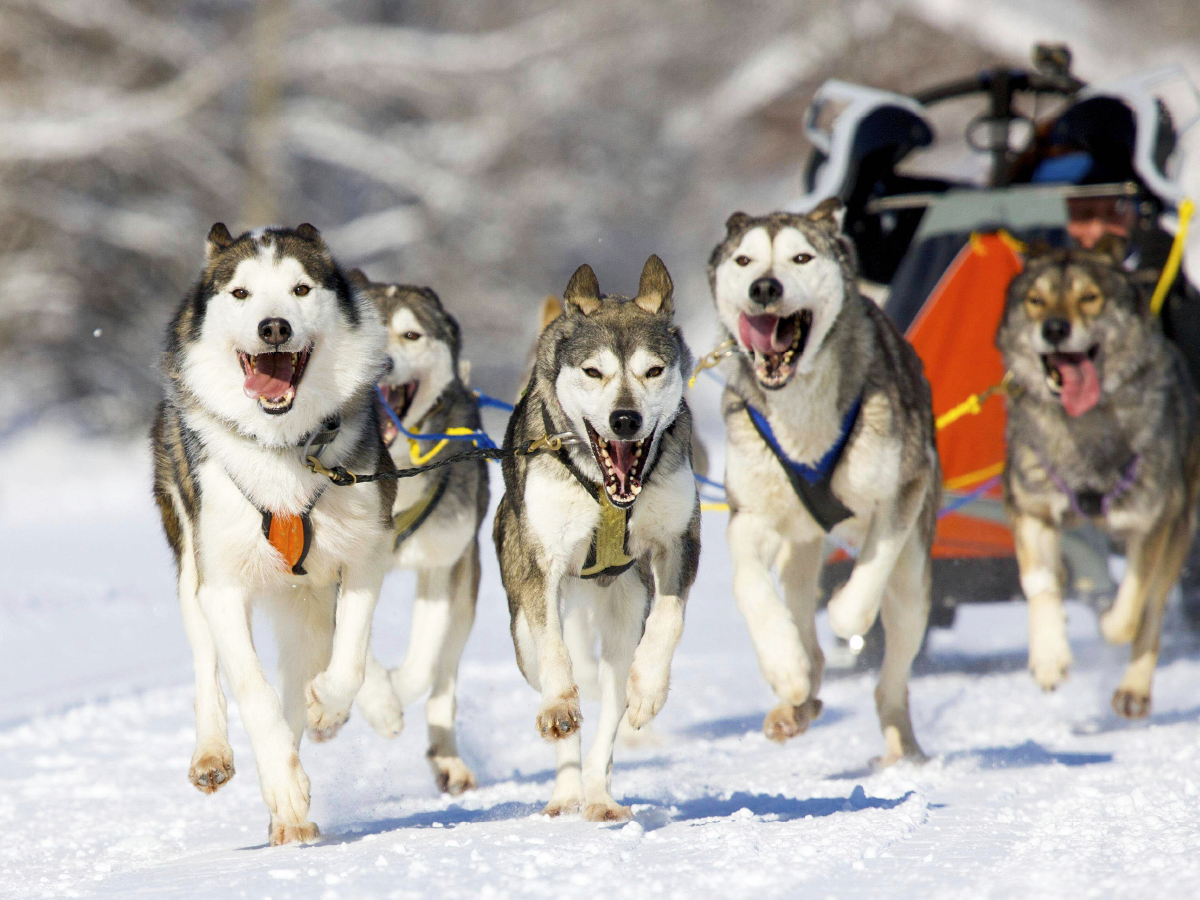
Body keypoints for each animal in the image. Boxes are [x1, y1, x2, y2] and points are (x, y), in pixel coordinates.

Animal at [152, 225, 396, 844]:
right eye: (240, 293)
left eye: (300, 289)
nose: (274, 327)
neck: (284, 447)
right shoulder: (222, 585)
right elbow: (252, 691)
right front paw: (283, 785)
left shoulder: (366, 553)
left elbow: (349, 657)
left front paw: (328, 706)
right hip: (191, 565)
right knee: (208, 664)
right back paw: (217, 756)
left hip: (305, 600)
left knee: (310, 665)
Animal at [350, 271, 489, 792]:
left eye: (411, 335)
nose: (384, 363)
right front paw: (379, 702)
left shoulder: (444, 562)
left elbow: (423, 662)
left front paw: (391, 694)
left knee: (443, 675)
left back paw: (448, 759)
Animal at [496, 256, 700, 820]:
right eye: (594, 372)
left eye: (653, 370)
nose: (625, 419)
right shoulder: (540, 565)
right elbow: (555, 654)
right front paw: (560, 706)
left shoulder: (680, 542)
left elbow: (671, 619)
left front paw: (650, 687)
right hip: (522, 632)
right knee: (553, 674)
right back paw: (567, 790)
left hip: (625, 617)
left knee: (610, 712)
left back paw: (599, 794)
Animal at [705, 200, 940, 763]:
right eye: (744, 260)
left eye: (801, 257)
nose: (764, 287)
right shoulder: (751, 516)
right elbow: (749, 585)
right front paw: (783, 665)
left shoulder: (902, 489)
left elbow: (863, 588)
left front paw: (844, 613)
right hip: (799, 552)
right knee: (803, 626)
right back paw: (795, 704)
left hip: (913, 582)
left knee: (890, 680)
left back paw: (902, 750)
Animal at [993, 241, 1200, 720]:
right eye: (1036, 301)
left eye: (1090, 298)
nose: (1054, 328)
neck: (1083, 427)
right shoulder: (1030, 506)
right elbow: (1039, 583)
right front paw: (1049, 655)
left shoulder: (1152, 520)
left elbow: (1133, 606)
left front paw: (1109, 622)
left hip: (1181, 525)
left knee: (1153, 606)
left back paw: (1133, 689)